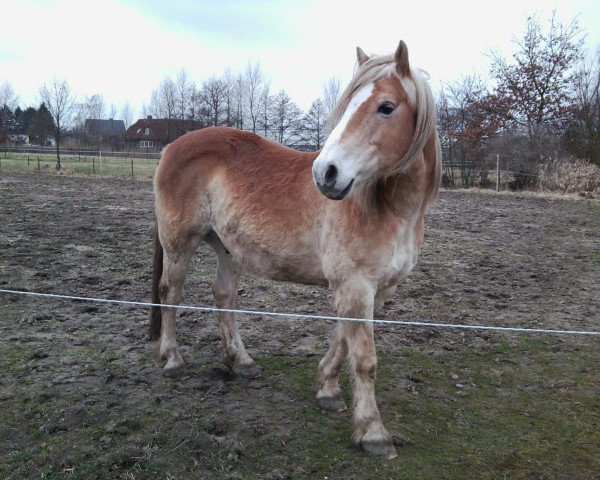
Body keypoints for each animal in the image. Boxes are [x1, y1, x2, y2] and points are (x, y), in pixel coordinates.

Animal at [150, 40, 440, 458]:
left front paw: (328, 391)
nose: (326, 174)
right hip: (179, 244)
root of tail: (173, 145)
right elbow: (365, 360)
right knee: (170, 293)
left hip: (227, 249)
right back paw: (173, 360)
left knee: (224, 296)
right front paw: (373, 432)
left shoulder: (376, 290)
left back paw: (240, 361)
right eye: (348, 104)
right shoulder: (355, 287)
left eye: (386, 107)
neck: (388, 208)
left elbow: (342, 341)